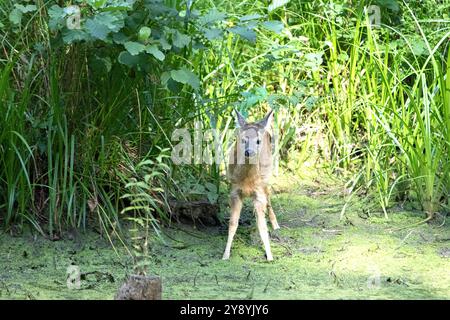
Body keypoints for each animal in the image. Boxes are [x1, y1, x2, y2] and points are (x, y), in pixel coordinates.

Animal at [221, 109, 278, 262]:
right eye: (243, 140)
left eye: (258, 141)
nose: (249, 152)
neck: (247, 181)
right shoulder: (234, 191)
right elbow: (232, 223)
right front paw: (225, 255)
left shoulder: (259, 193)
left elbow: (262, 226)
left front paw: (270, 256)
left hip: (267, 178)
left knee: (269, 196)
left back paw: (276, 225)